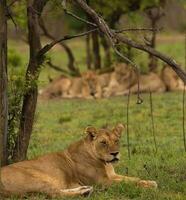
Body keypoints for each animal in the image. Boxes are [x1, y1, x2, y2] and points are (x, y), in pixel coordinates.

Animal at [0, 124, 157, 198]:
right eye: (103, 142)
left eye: (116, 140)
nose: (115, 154)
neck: (105, 164)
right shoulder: (102, 182)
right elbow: (130, 182)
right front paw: (148, 185)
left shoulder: (112, 175)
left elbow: (133, 178)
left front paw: (149, 182)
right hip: (36, 179)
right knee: (55, 194)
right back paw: (84, 192)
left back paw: (85, 189)